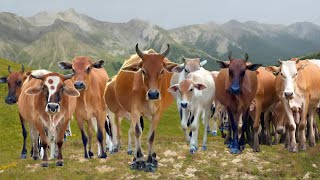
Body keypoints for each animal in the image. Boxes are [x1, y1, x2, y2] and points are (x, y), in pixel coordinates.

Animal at [114, 43, 178, 172]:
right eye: (143, 71)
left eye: (162, 71)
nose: (153, 94)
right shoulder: (135, 111)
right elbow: (137, 132)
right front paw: (139, 159)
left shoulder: (158, 113)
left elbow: (151, 136)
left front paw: (149, 161)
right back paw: (136, 157)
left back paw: (153, 156)